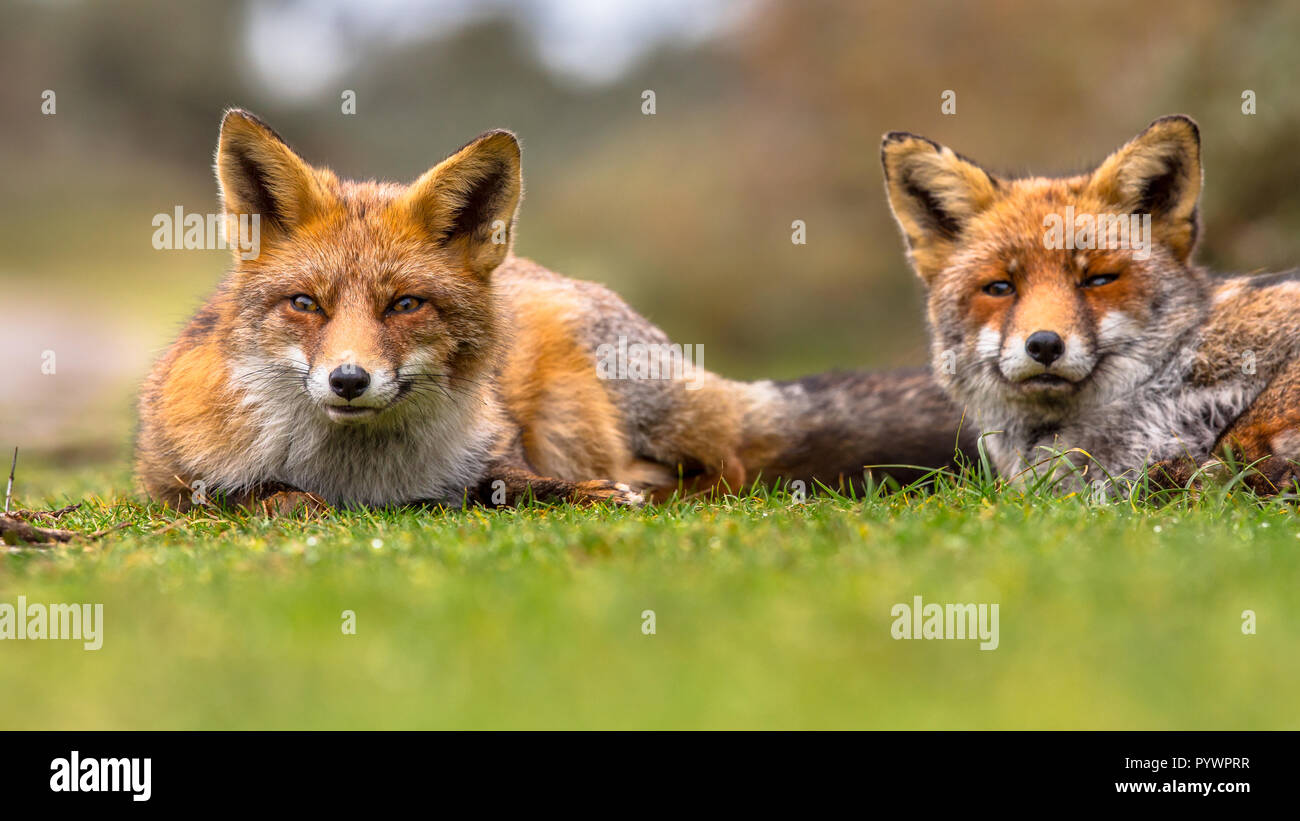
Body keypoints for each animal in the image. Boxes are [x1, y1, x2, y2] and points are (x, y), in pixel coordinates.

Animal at [135, 109, 972, 512]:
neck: (359, 476)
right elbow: (259, 498)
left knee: (724, 468)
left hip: (595, 403)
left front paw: (585, 495)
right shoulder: (170, 473)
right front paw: (293, 499)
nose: (347, 380)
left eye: (406, 304)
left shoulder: (499, 449)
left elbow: (506, 484)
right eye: (305, 304)